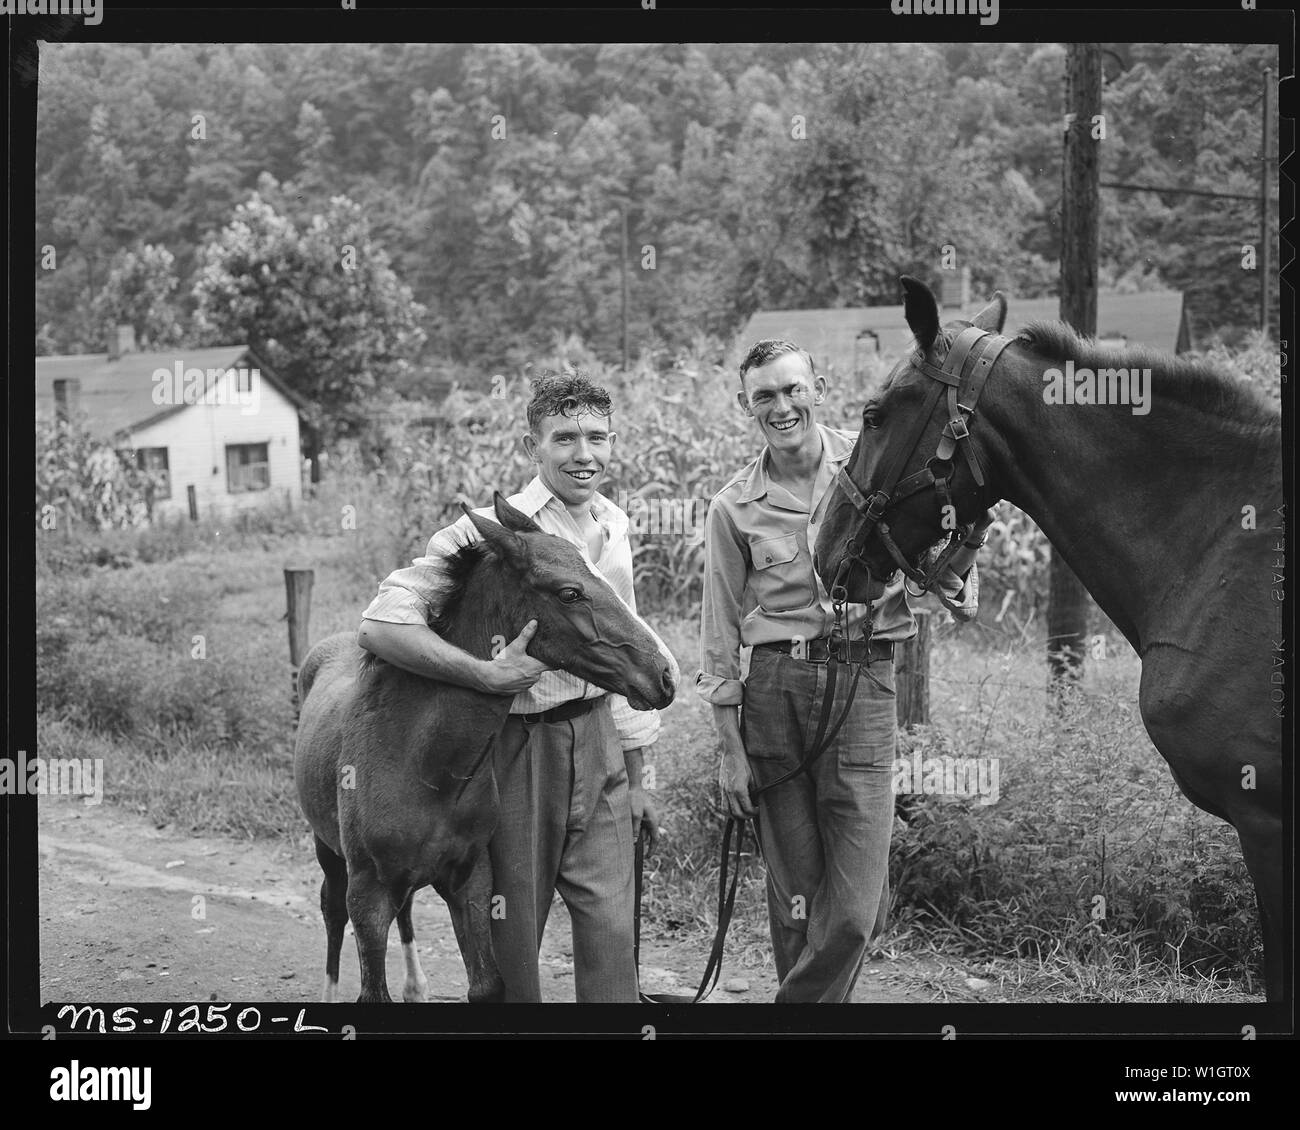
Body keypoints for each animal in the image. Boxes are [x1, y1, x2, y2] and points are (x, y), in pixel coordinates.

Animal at [296, 488, 681, 998]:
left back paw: (416, 986)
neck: (425, 766)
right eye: (570, 592)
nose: (664, 675)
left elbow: (487, 984)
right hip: (329, 851)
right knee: (331, 909)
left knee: (406, 910)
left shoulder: (471, 882)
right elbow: (371, 989)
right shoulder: (369, 893)